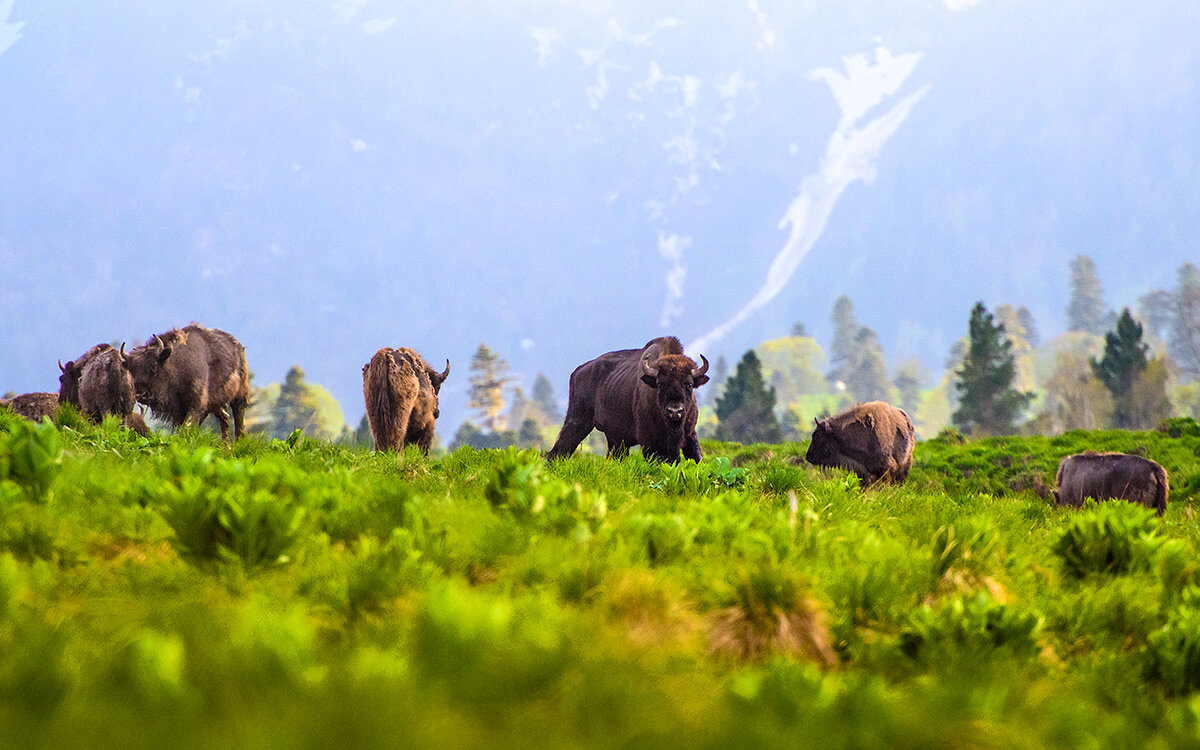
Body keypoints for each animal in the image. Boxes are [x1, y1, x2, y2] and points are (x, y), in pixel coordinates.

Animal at [547, 336, 705, 463]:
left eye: (689, 384)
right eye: (660, 384)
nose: (675, 411)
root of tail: (578, 371)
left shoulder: (690, 435)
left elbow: (697, 459)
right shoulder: (648, 440)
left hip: (614, 439)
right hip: (577, 421)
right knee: (558, 451)